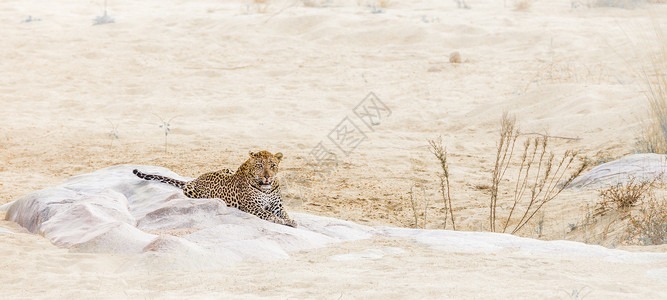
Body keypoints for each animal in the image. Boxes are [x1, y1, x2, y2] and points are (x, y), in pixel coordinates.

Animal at [133, 150, 294, 227]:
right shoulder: (251, 206)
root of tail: (195, 179)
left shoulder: (278, 206)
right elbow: (267, 214)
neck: (266, 188)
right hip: (191, 191)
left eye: (272, 165)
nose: (267, 177)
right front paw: (279, 221)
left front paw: (290, 221)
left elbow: (285, 214)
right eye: (259, 165)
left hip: (227, 169)